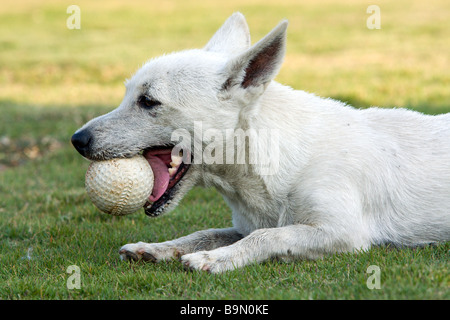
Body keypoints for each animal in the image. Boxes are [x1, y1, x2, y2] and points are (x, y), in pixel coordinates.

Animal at [72, 12, 450, 272]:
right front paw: (157, 248)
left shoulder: (343, 233)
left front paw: (214, 259)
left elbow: (268, 236)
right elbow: (206, 232)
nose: (78, 140)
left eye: (148, 101)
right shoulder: (243, 225)